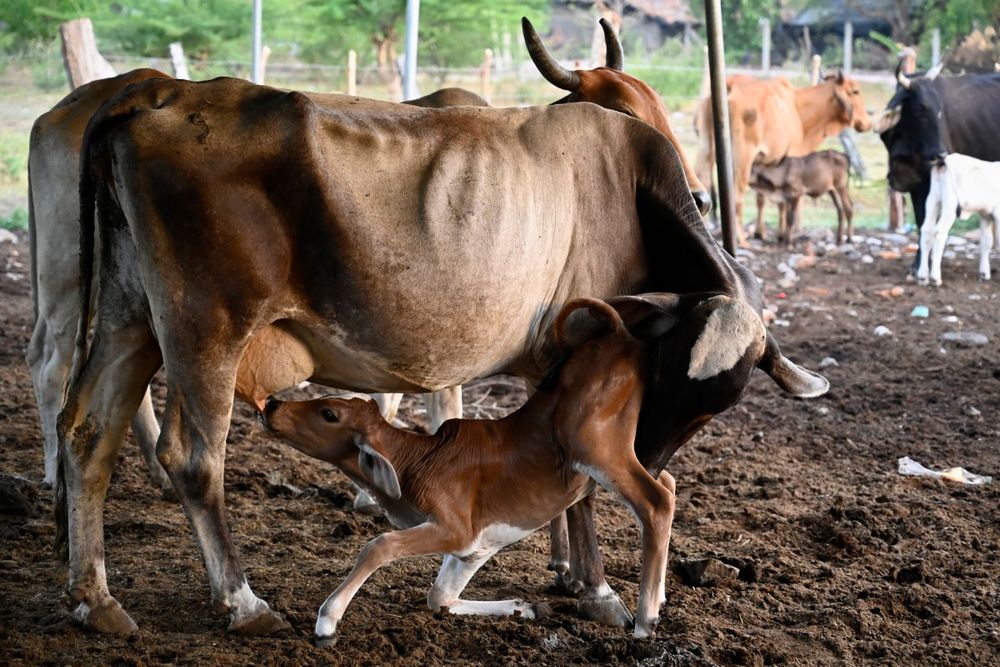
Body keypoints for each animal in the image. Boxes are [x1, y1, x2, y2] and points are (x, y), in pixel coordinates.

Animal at [55, 76, 827, 636]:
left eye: (721, 399)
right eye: (667, 372)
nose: (653, 452)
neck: (630, 190)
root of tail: (158, 95)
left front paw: (566, 572)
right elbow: (579, 488)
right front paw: (600, 589)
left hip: (129, 317)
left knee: (88, 434)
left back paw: (95, 600)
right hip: (207, 328)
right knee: (192, 458)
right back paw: (242, 602)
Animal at [695, 72, 872, 246]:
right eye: (855, 91)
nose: (867, 122)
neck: (798, 107)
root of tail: (729, 83)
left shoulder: (766, 162)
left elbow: (763, 199)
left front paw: (762, 233)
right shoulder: (790, 156)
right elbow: (783, 203)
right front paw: (783, 235)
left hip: (706, 146)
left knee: (704, 181)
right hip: (742, 157)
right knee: (735, 196)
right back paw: (741, 239)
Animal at [918, 153, 1000, 286]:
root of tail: (944, 159)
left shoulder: (985, 215)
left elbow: (986, 242)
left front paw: (984, 273)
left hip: (933, 199)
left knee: (926, 230)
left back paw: (923, 276)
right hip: (950, 203)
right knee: (939, 233)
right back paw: (935, 278)